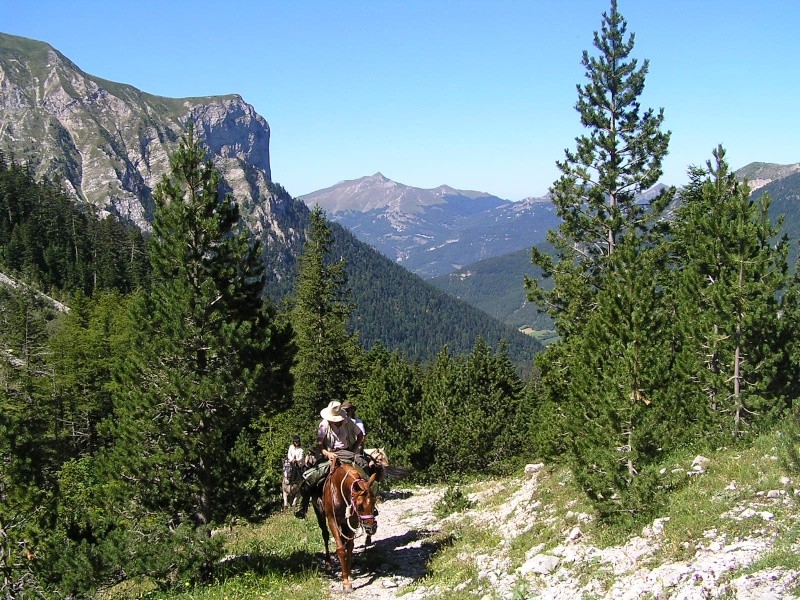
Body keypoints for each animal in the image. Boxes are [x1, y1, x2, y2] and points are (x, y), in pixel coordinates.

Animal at [310, 460, 378, 592]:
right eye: (360, 505)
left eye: (374, 501)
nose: (371, 528)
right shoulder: (332, 520)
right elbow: (341, 549)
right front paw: (346, 582)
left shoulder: (352, 520)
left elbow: (350, 546)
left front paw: (349, 572)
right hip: (320, 513)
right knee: (325, 535)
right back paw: (328, 565)